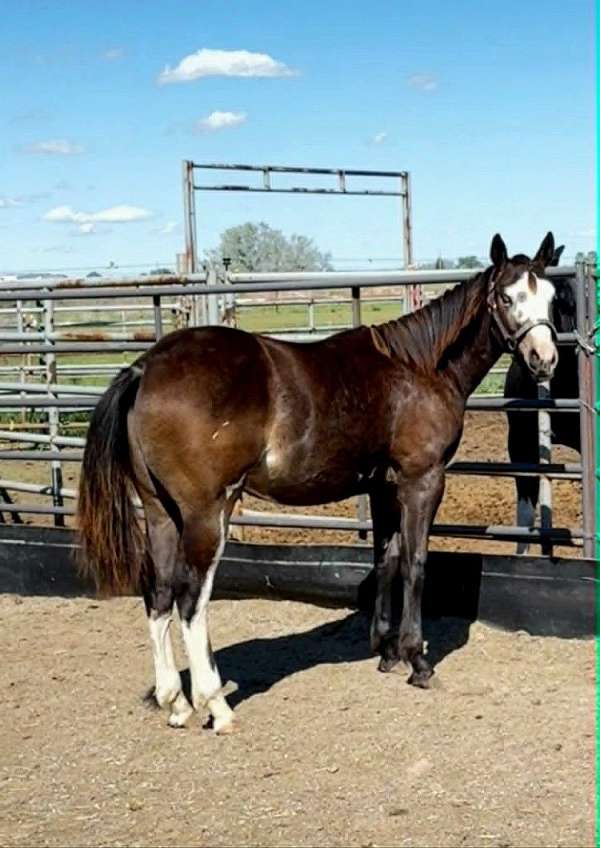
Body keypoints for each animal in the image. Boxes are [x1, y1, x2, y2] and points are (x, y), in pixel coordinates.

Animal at [77, 232, 559, 734]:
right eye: (507, 297)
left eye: (550, 296)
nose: (544, 360)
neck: (418, 368)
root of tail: (146, 368)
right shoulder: (421, 481)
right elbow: (415, 563)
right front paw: (416, 660)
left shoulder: (383, 487)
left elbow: (386, 560)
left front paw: (385, 652)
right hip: (207, 514)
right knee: (191, 600)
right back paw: (216, 705)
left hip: (160, 512)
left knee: (159, 594)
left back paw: (175, 701)